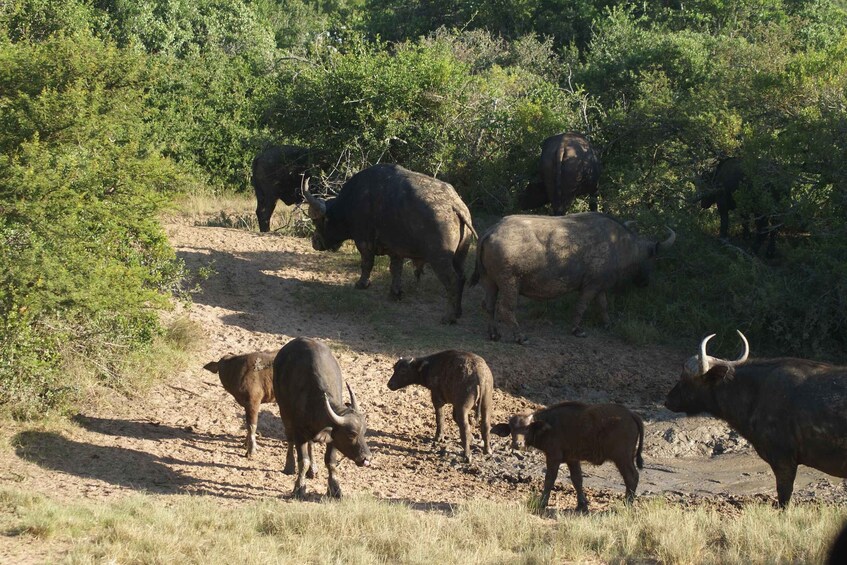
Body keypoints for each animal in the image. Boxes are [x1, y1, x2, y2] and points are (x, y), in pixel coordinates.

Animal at [273, 337, 371, 499]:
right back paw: (289, 466)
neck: (313, 400)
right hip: (284, 412)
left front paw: (335, 489)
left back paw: (313, 470)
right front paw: (299, 488)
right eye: (351, 434)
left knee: (311, 444)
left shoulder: (333, 438)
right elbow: (303, 461)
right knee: (289, 437)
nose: (366, 458)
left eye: (364, 433)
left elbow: (330, 462)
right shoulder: (299, 432)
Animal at [303, 163, 477, 324]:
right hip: (459, 257)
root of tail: (455, 205)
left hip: (439, 259)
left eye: (316, 221)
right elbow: (396, 270)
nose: (314, 242)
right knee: (462, 277)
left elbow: (366, 264)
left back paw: (449, 317)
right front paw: (395, 293)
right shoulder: (396, 250)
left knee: (453, 281)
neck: (351, 202)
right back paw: (458, 312)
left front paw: (362, 284)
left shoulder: (363, 242)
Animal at [470, 212, 675, 342]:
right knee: (505, 309)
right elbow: (581, 307)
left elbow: (603, 305)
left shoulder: (600, 286)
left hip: (489, 281)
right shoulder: (590, 286)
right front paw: (577, 330)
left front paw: (608, 324)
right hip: (510, 282)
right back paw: (520, 336)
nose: (644, 283)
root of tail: (491, 231)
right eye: (653, 259)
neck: (618, 244)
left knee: (488, 305)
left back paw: (494, 334)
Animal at [491, 402, 644, 512]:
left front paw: (542, 503)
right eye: (512, 429)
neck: (549, 425)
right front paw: (581, 505)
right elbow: (577, 480)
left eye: (527, 428)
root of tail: (631, 414)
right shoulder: (572, 459)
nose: (517, 444)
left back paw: (627, 504)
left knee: (631, 477)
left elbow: (549, 479)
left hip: (622, 458)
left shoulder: (553, 457)